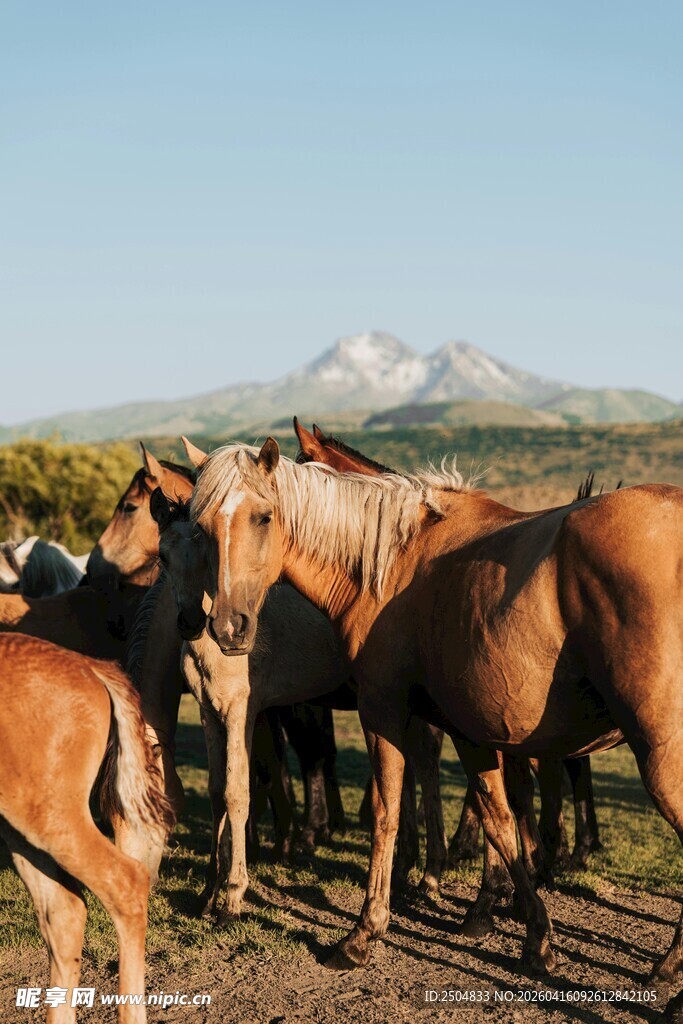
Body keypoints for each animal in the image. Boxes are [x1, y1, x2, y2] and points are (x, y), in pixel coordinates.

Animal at [190, 436, 682, 1018]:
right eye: (201, 526)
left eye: (263, 516)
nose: (227, 627)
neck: (396, 562)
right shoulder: (470, 732)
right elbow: (500, 821)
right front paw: (532, 935)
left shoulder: (382, 711)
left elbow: (388, 812)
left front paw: (364, 933)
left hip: (659, 756)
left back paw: (667, 975)